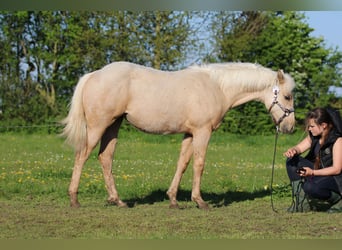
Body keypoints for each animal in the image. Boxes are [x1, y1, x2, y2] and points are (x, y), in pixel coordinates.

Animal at [62, 62, 296, 209]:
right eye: (287, 96)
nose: (290, 127)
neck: (217, 87)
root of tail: (93, 74)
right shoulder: (202, 132)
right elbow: (199, 164)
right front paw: (200, 201)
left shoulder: (189, 134)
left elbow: (182, 164)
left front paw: (173, 199)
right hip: (98, 126)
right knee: (81, 156)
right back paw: (74, 199)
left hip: (113, 126)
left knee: (105, 158)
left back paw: (117, 200)